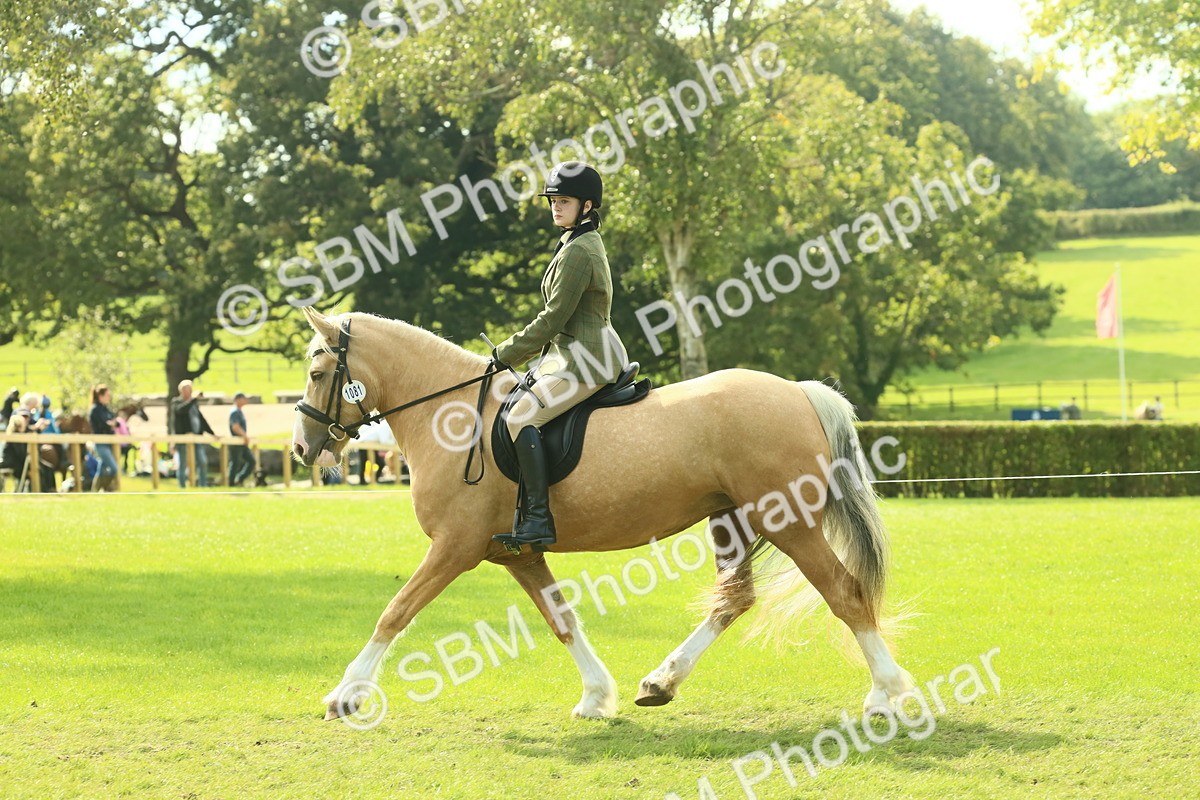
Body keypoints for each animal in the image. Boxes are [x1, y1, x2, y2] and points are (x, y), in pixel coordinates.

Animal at [292, 309, 915, 723]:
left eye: (318, 374)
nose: (302, 448)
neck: (453, 415)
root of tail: (800, 392)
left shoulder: (455, 547)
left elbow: (395, 612)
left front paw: (346, 695)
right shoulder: (516, 553)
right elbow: (561, 619)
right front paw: (596, 696)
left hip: (788, 522)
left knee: (845, 593)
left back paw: (887, 693)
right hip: (732, 520)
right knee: (735, 600)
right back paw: (660, 682)